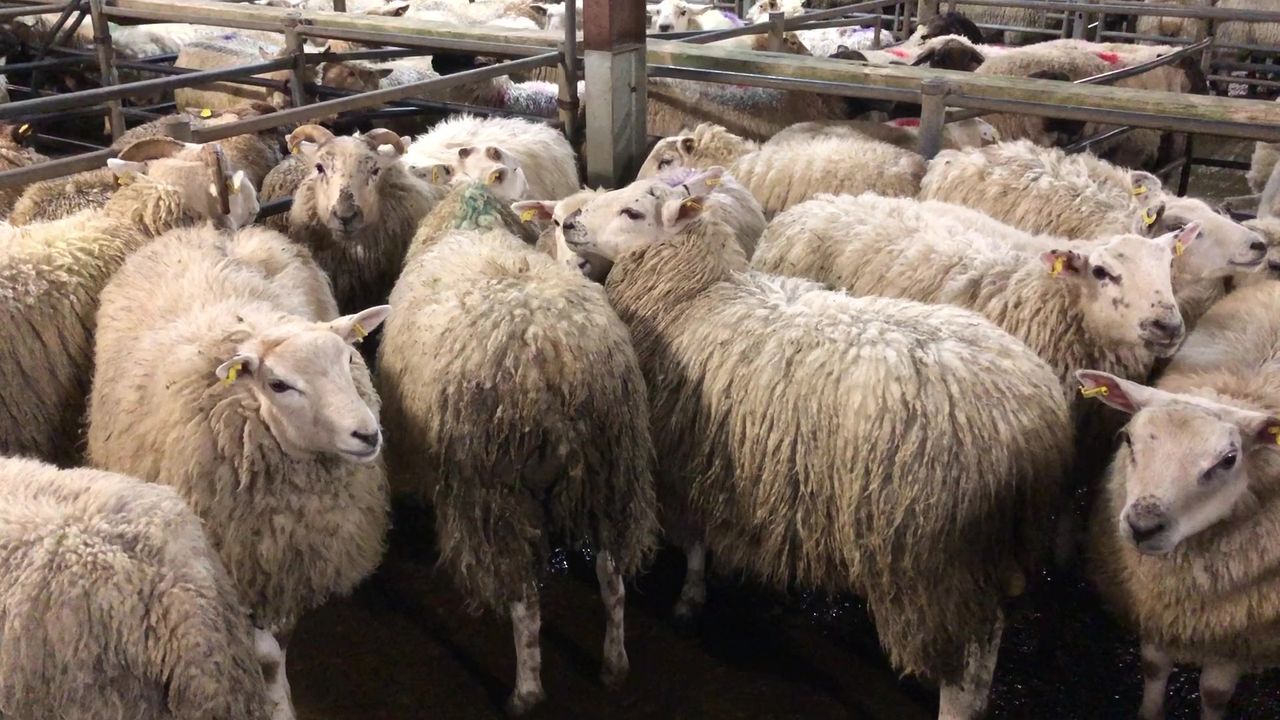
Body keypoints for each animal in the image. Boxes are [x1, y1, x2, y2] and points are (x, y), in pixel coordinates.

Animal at [86, 223, 391, 716]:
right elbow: (264, 655)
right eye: (279, 384)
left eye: (349, 359)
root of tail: (215, 230)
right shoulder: (236, 569)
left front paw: (282, 699)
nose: (366, 434)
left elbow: (281, 644)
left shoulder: (287, 564)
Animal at [376, 183, 658, 715]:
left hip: (497, 488)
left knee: (525, 598)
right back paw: (615, 664)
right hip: (614, 467)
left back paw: (526, 691)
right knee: (612, 578)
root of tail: (554, 356)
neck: (472, 224)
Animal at [559, 167, 1071, 720]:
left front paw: (688, 599)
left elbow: (693, 535)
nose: (568, 222)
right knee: (988, 651)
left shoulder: (684, 450)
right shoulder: (706, 455)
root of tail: (1039, 424)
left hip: (937, 565)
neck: (693, 298)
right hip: (985, 559)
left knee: (962, 674)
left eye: (633, 211)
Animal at [1079, 304, 1280, 720]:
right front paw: (1149, 712)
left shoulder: (1238, 632)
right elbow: (1154, 667)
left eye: (1229, 459)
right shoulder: (1153, 605)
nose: (1142, 526)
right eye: (1128, 439)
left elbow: (1214, 693)